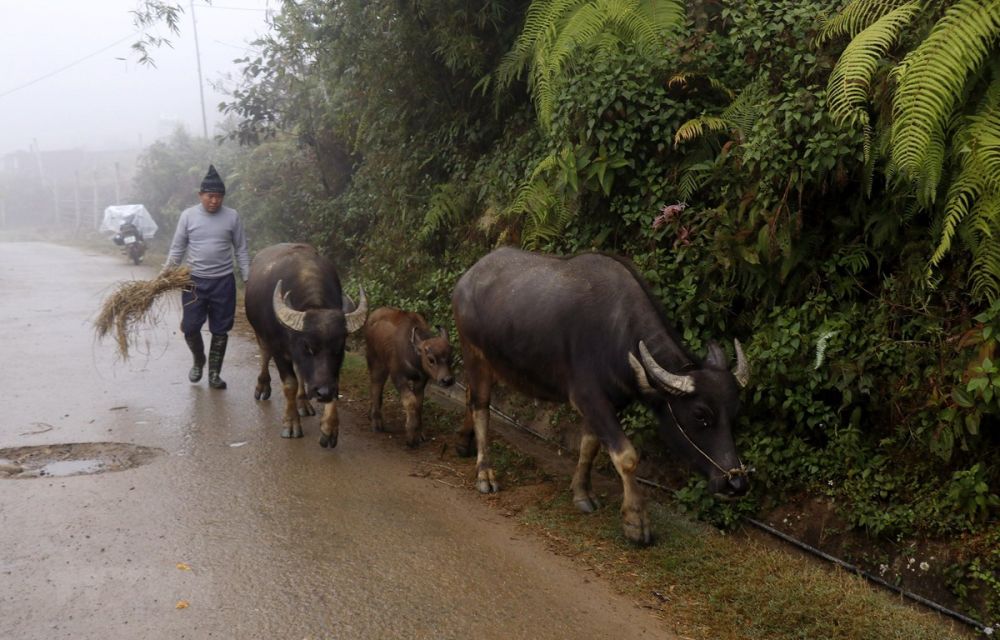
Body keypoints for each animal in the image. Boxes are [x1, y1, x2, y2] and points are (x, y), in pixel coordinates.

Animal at [245, 242, 368, 448]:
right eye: (308, 347)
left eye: (338, 349)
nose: (323, 393)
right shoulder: (279, 349)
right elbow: (289, 384)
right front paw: (291, 424)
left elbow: (332, 382)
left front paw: (329, 428)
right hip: (260, 333)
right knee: (264, 354)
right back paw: (262, 387)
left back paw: (303, 401)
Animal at [364, 308, 458, 448]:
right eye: (431, 359)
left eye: (450, 357)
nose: (447, 380)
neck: (413, 356)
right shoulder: (398, 377)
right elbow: (410, 401)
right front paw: (411, 435)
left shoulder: (421, 381)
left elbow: (419, 403)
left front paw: (419, 433)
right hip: (375, 361)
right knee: (376, 385)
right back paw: (376, 423)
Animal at [454, 248, 752, 544]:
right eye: (700, 414)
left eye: (735, 413)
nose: (735, 483)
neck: (618, 334)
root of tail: (467, 278)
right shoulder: (589, 398)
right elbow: (627, 457)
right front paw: (636, 521)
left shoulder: (609, 403)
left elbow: (590, 446)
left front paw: (582, 493)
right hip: (474, 352)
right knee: (481, 407)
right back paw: (485, 474)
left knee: (469, 394)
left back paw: (463, 442)